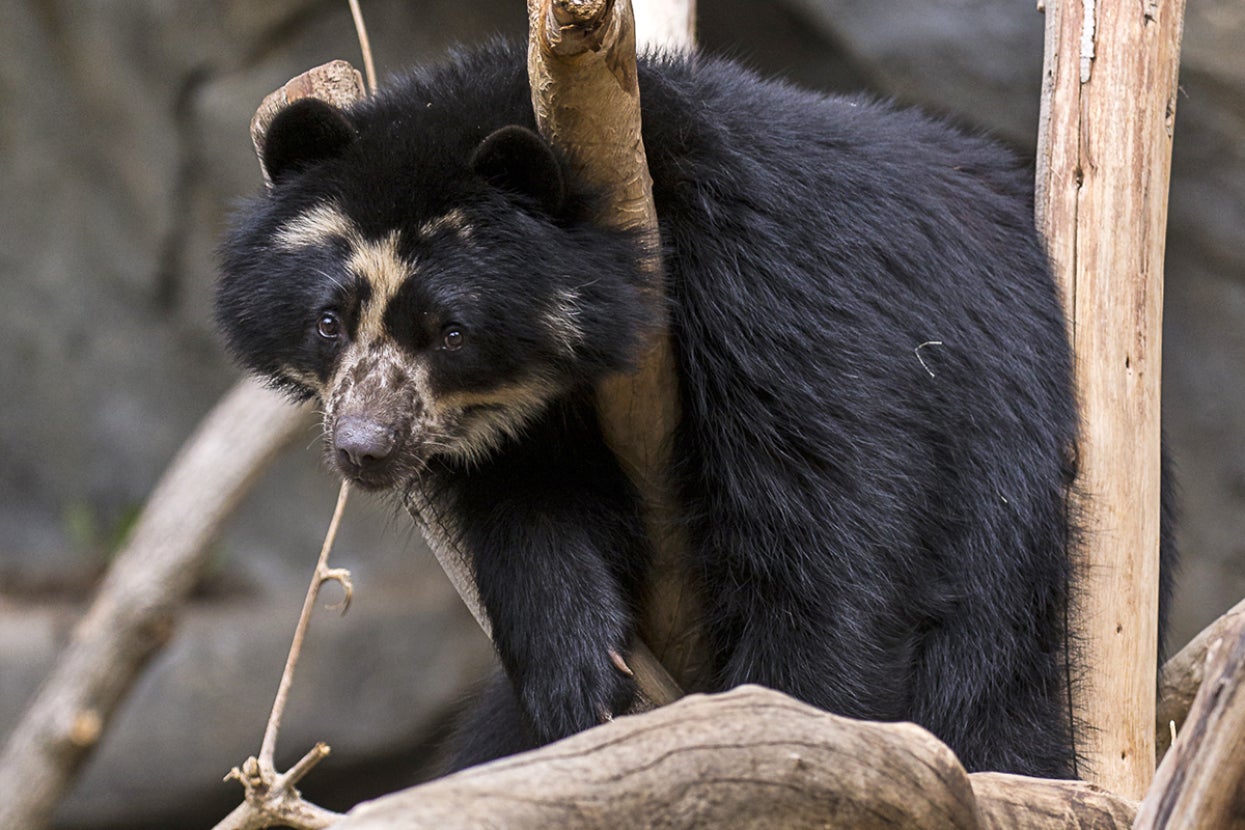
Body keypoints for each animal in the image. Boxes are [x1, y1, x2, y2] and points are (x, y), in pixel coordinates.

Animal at [217, 41, 1174, 779]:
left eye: (450, 331)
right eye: (328, 319)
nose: (364, 448)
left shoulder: (774, 296)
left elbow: (836, 521)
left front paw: (789, 722)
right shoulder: (520, 437)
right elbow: (531, 522)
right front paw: (579, 680)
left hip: (1019, 569)